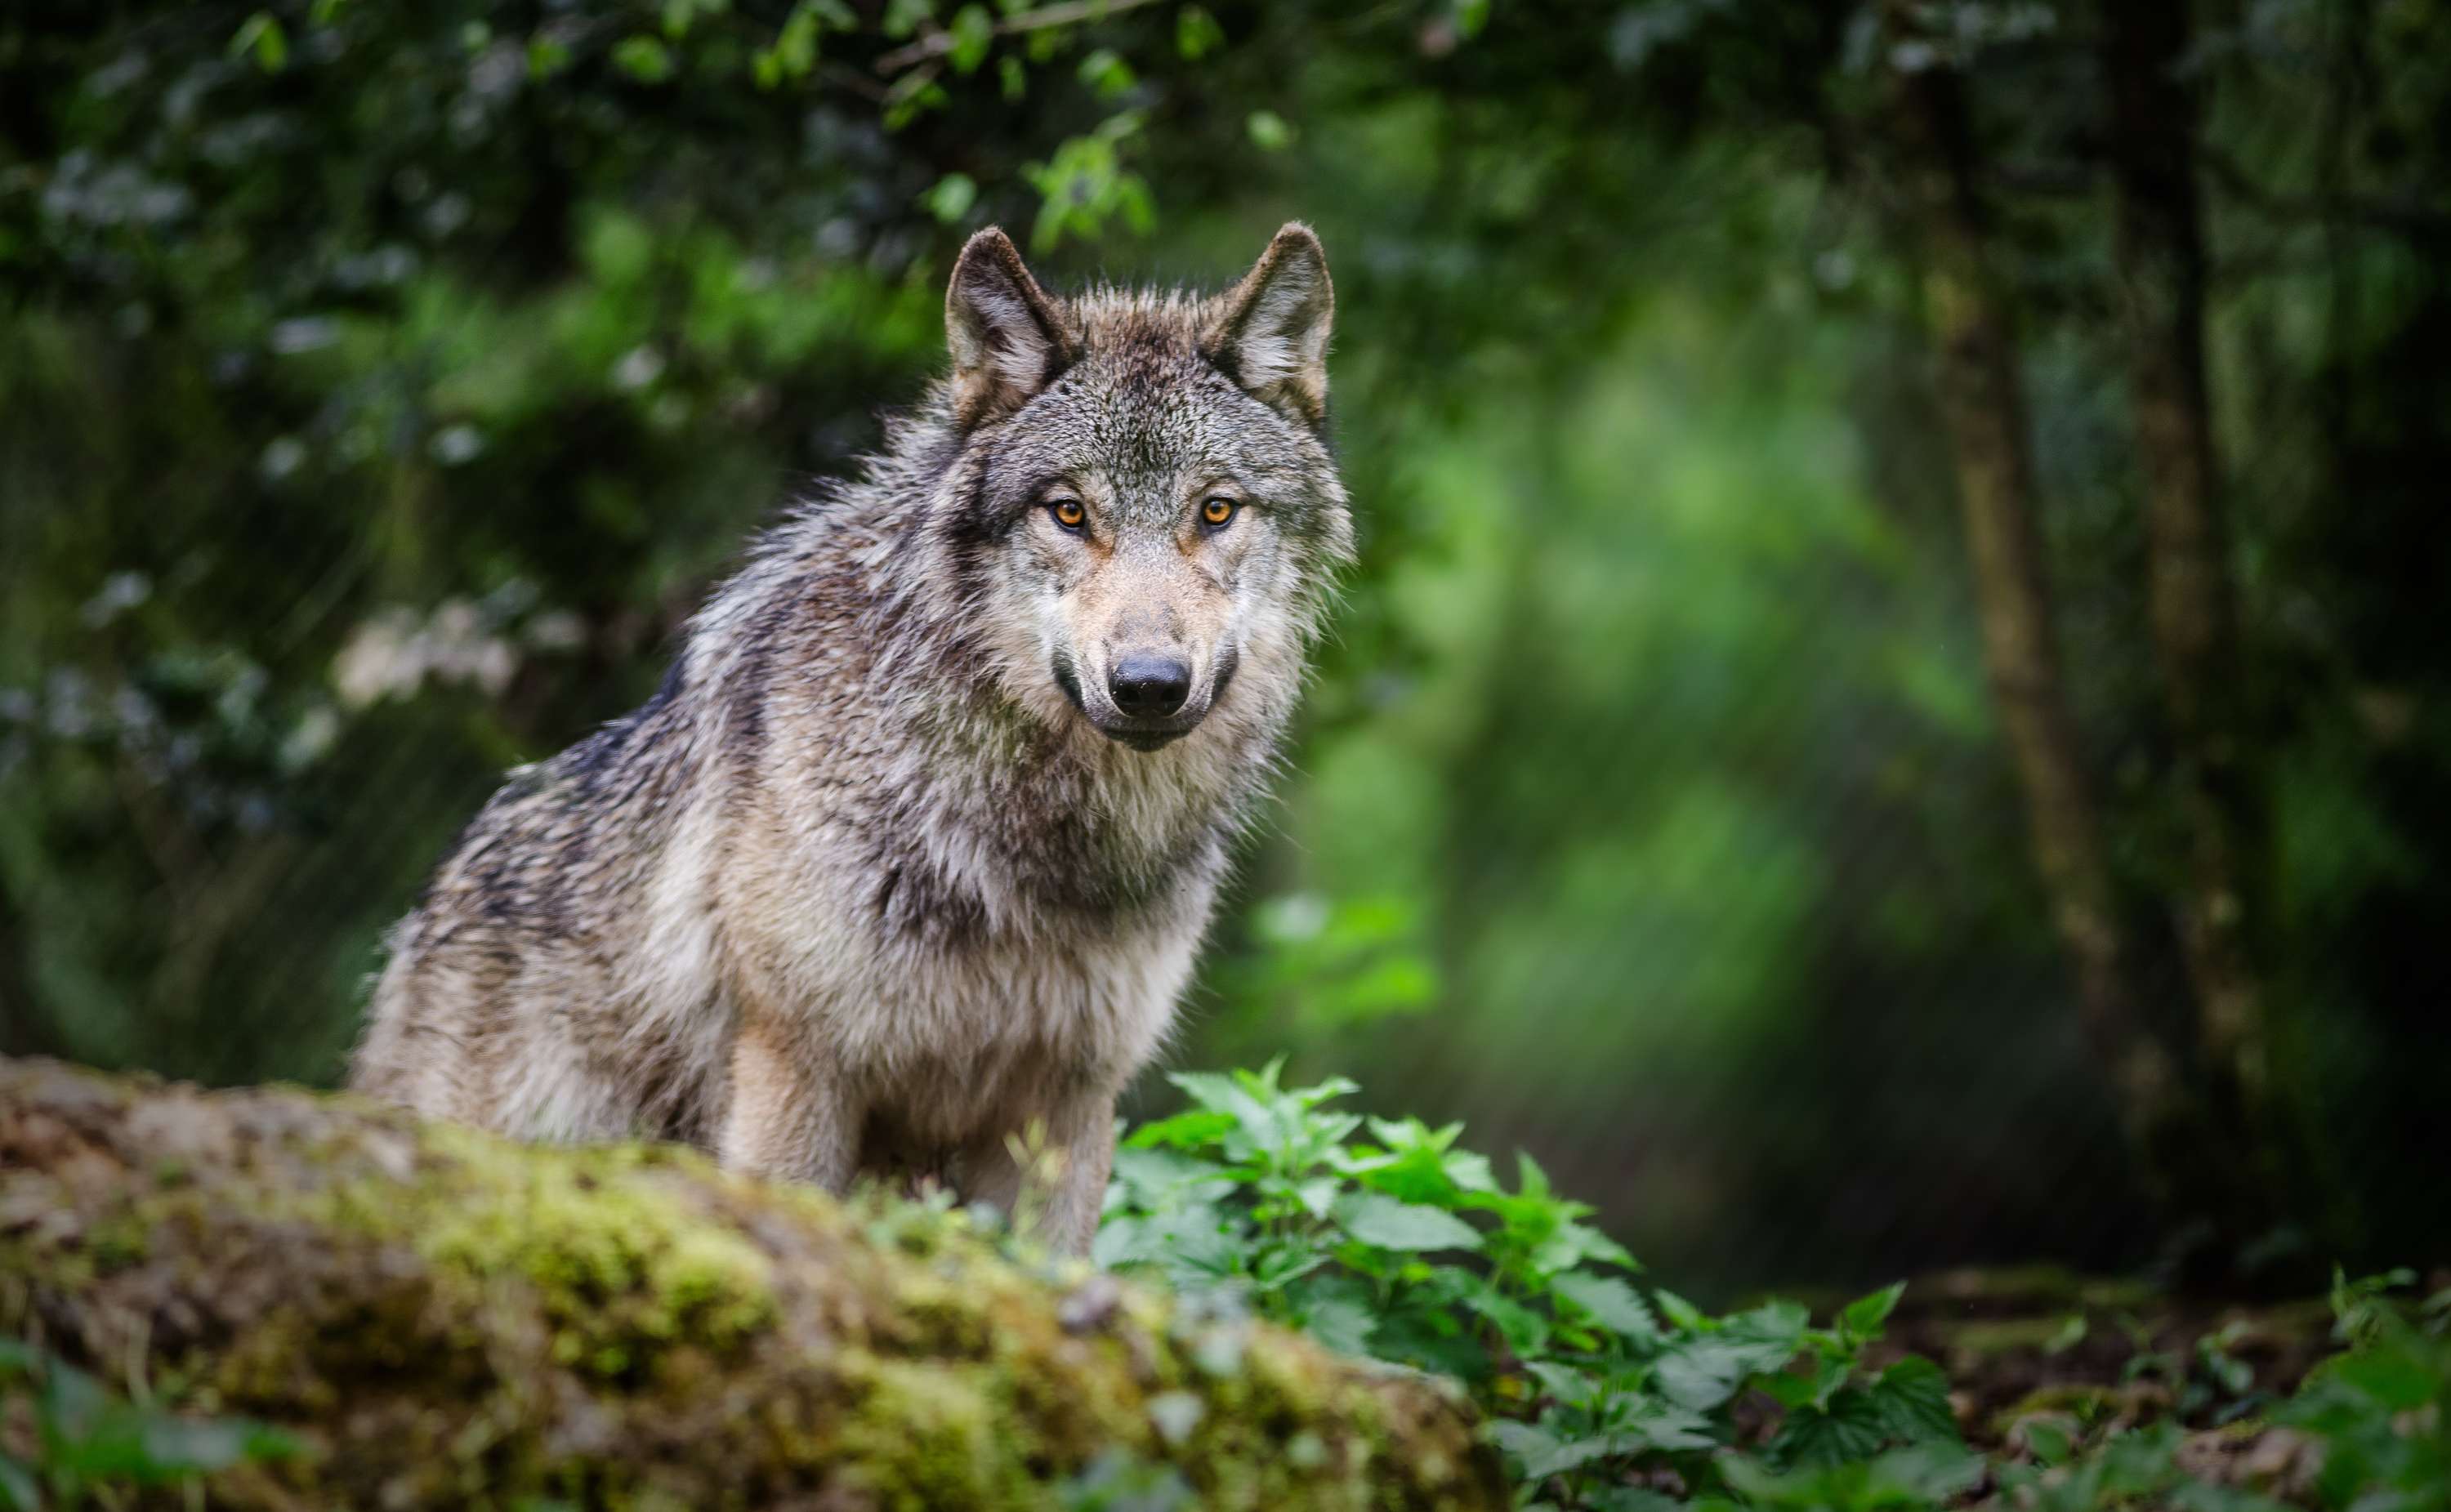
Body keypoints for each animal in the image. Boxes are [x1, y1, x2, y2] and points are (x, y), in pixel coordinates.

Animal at [348, 224, 1350, 1254]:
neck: (1031, 846)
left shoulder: (1066, 1105)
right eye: (1069, 512)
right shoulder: (796, 1071)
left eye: (1216, 511)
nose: (1149, 686)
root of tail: (431, 908)